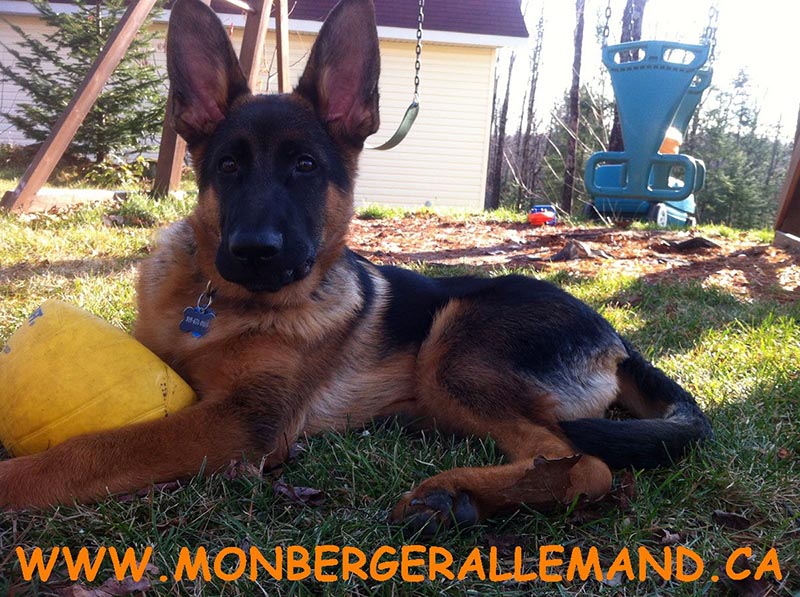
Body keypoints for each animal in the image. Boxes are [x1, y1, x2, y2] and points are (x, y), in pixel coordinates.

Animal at [0, 0, 711, 532]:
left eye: (305, 166)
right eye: (228, 166)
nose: (254, 251)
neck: (221, 306)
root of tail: (616, 338)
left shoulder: (242, 424)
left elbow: (91, 448)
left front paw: (13, 479)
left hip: (456, 343)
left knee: (583, 462)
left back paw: (455, 495)